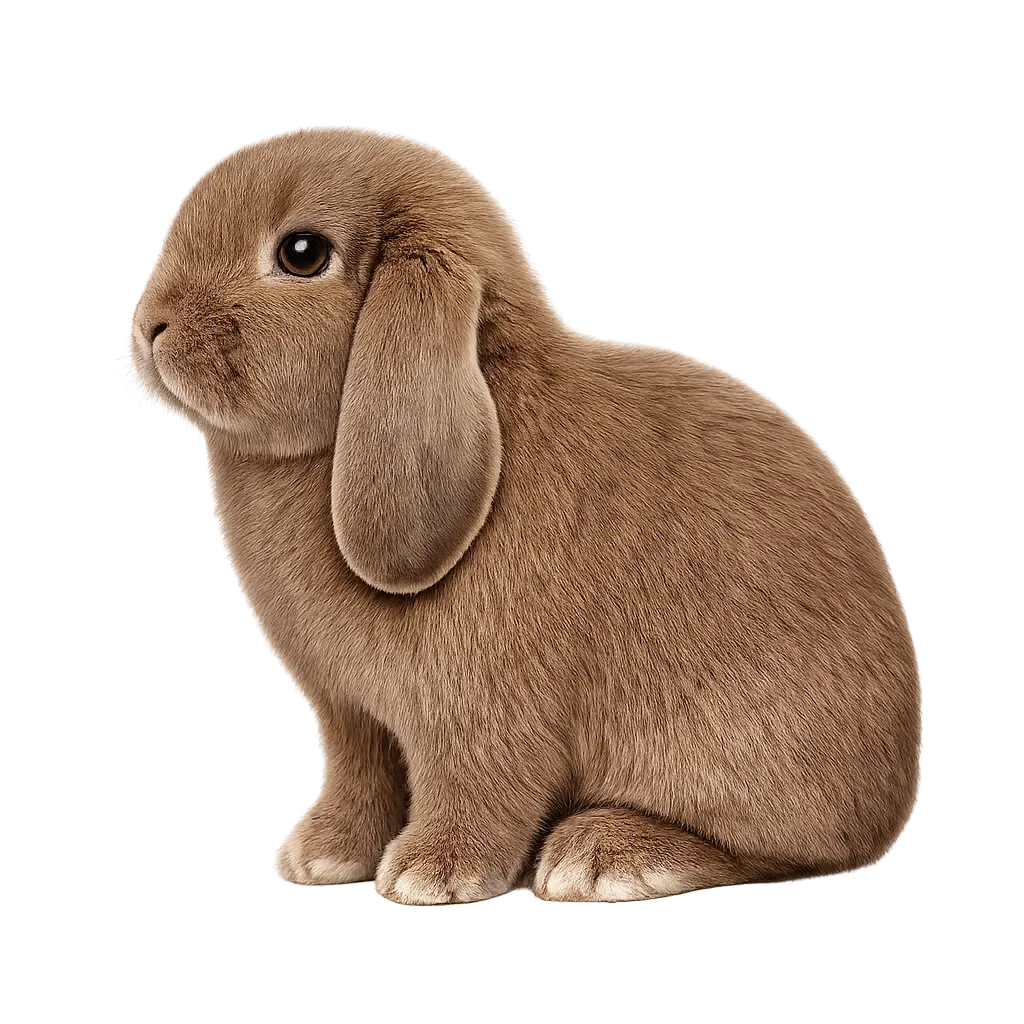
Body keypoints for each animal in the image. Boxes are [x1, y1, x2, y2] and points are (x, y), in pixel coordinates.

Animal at [128, 126, 921, 906]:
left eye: (302, 254)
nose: (149, 326)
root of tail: (892, 786)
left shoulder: (477, 708)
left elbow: (480, 784)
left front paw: (430, 873)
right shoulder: (350, 713)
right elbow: (363, 779)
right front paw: (323, 855)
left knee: (770, 851)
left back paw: (601, 857)